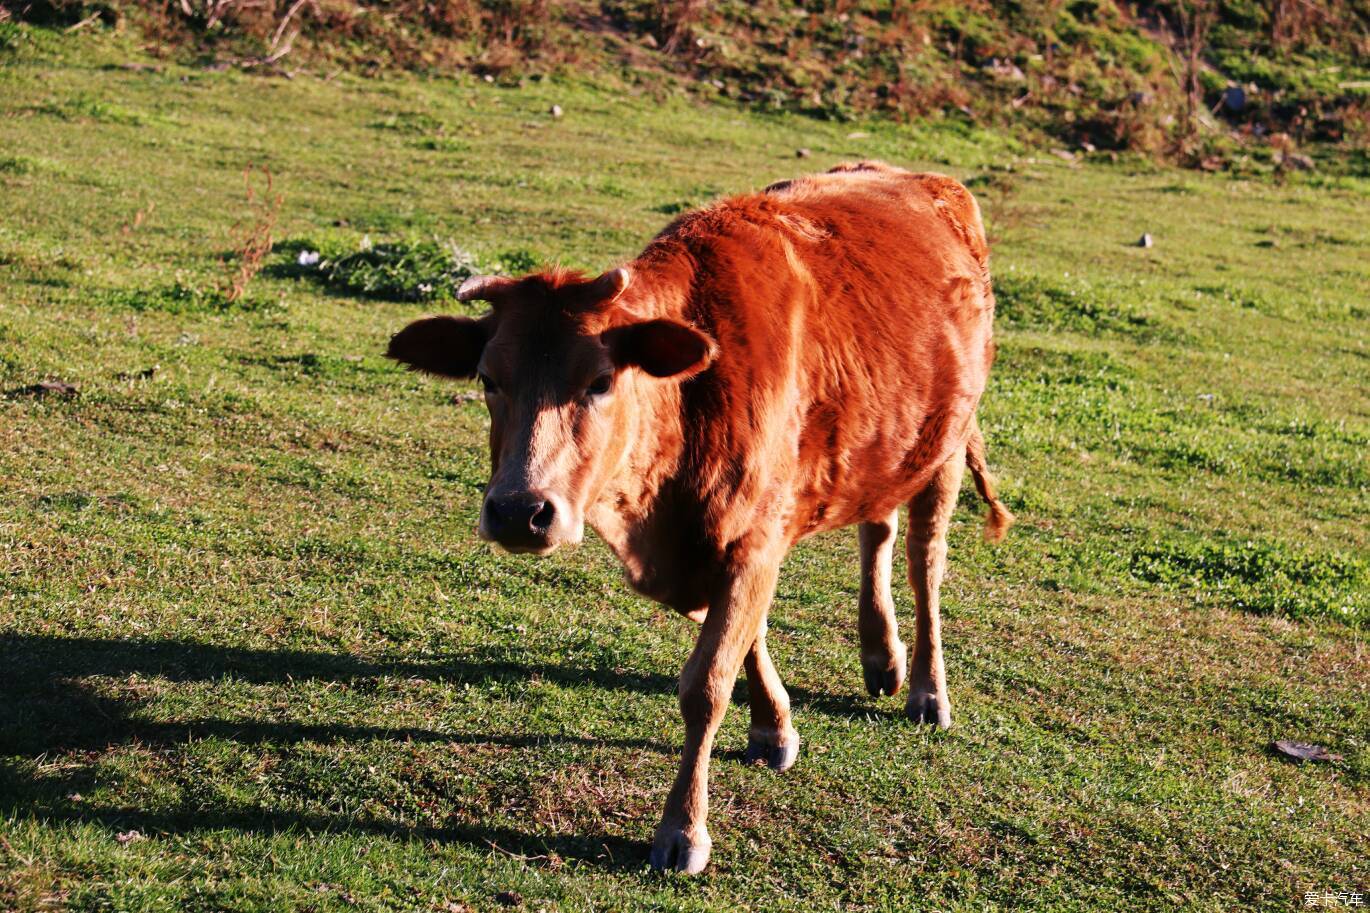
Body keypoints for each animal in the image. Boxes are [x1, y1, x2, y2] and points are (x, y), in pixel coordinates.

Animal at [386, 159, 1008, 871]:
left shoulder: (752, 538)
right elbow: (746, 638)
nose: (520, 512)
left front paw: (682, 830)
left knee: (924, 566)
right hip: (886, 440)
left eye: (601, 381)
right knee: (877, 525)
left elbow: (707, 683)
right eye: (489, 378)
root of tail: (917, 176)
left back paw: (928, 691)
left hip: (947, 451)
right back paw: (882, 656)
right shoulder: (717, 546)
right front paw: (773, 726)